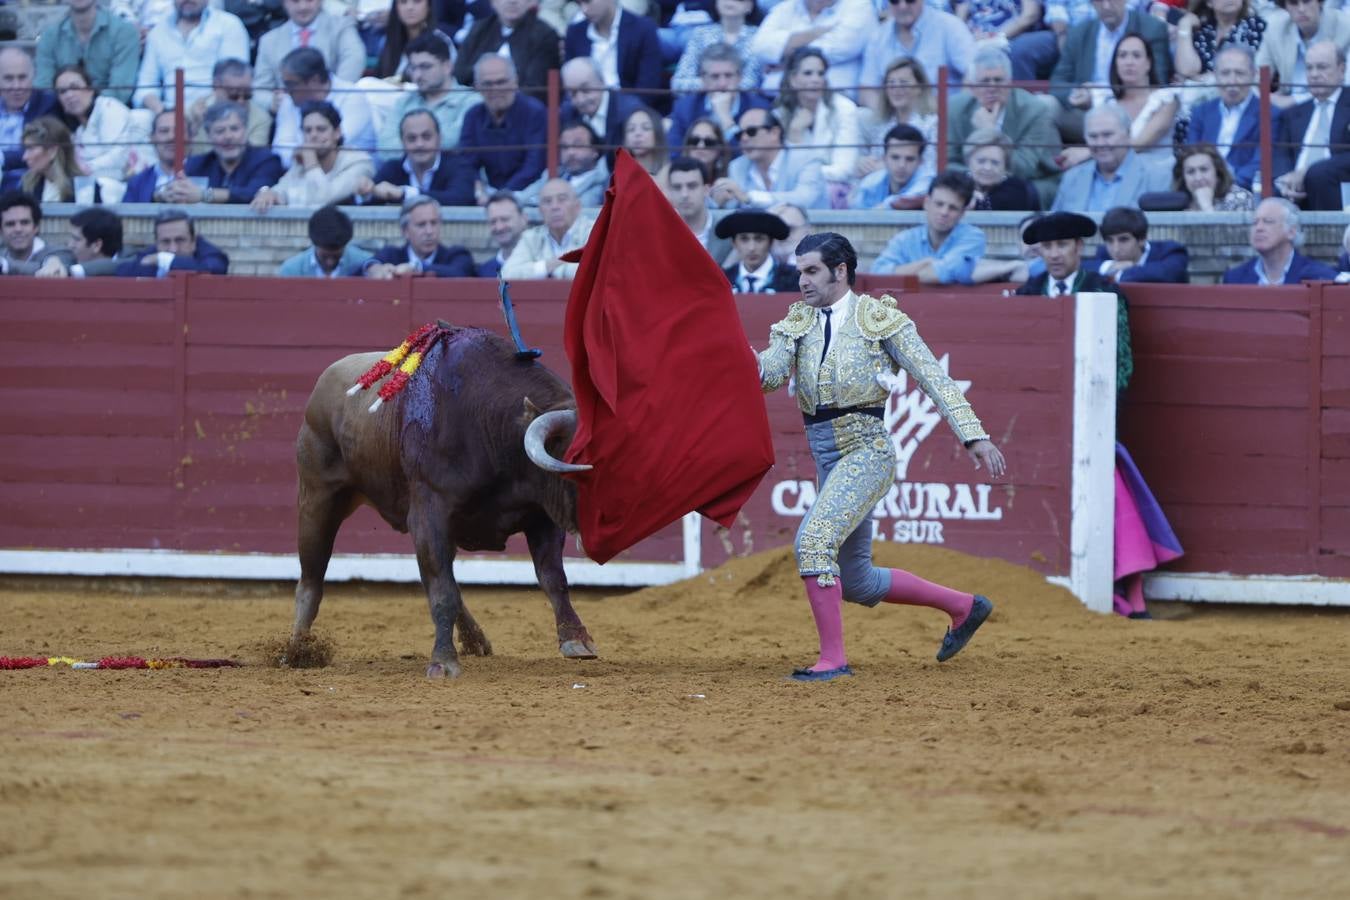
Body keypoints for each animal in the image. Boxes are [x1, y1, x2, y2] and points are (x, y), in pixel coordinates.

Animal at [286, 323, 596, 674]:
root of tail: (325, 381)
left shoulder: (541, 516)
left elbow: (553, 578)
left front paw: (576, 640)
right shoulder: (429, 514)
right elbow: (441, 588)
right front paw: (443, 661)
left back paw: (476, 640)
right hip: (317, 499)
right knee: (311, 577)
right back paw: (297, 649)